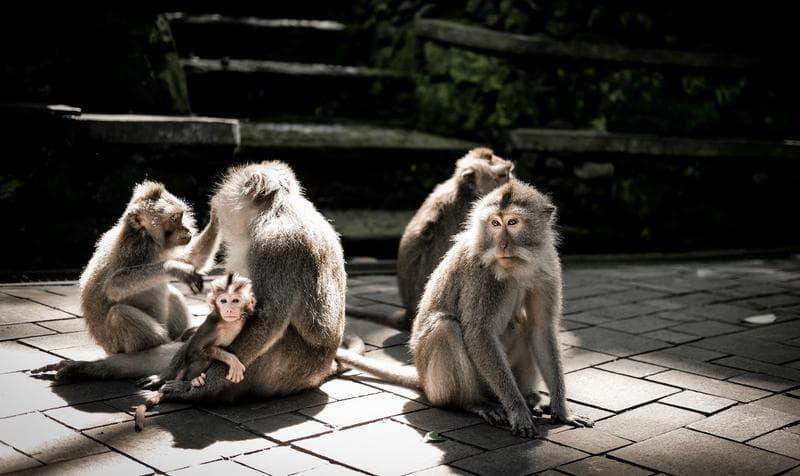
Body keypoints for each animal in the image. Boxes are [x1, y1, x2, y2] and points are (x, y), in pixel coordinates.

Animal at [78, 181, 220, 354]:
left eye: (180, 216)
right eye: (174, 218)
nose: (186, 229)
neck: (148, 236)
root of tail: (106, 347)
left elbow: (191, 259)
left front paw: (216, 218)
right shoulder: (136, 248)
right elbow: (114, 285)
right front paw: (174, 268)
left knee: (172, 294)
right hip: (116, 344)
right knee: (119, 314)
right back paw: (168, 343)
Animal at [134, 273, 256, 431]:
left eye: (235, 300)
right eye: (223, 301)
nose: (229, 309)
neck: (229, 323)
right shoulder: (212, 326)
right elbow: (197, 349)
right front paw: (232, 360)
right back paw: (194, 380)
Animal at [337, 178, 592, 437]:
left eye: (512, 222)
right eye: (495, 223)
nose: (502, 245)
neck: (518, 267)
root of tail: (421, 376)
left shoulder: (547, 268)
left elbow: (541, 329)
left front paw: (561, 410)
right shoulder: (481, 276)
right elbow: (479, 333)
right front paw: (518, 410)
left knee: (524, 325)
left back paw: (530, 396)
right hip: (447, 383)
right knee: (446, 327)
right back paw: (472, 402)